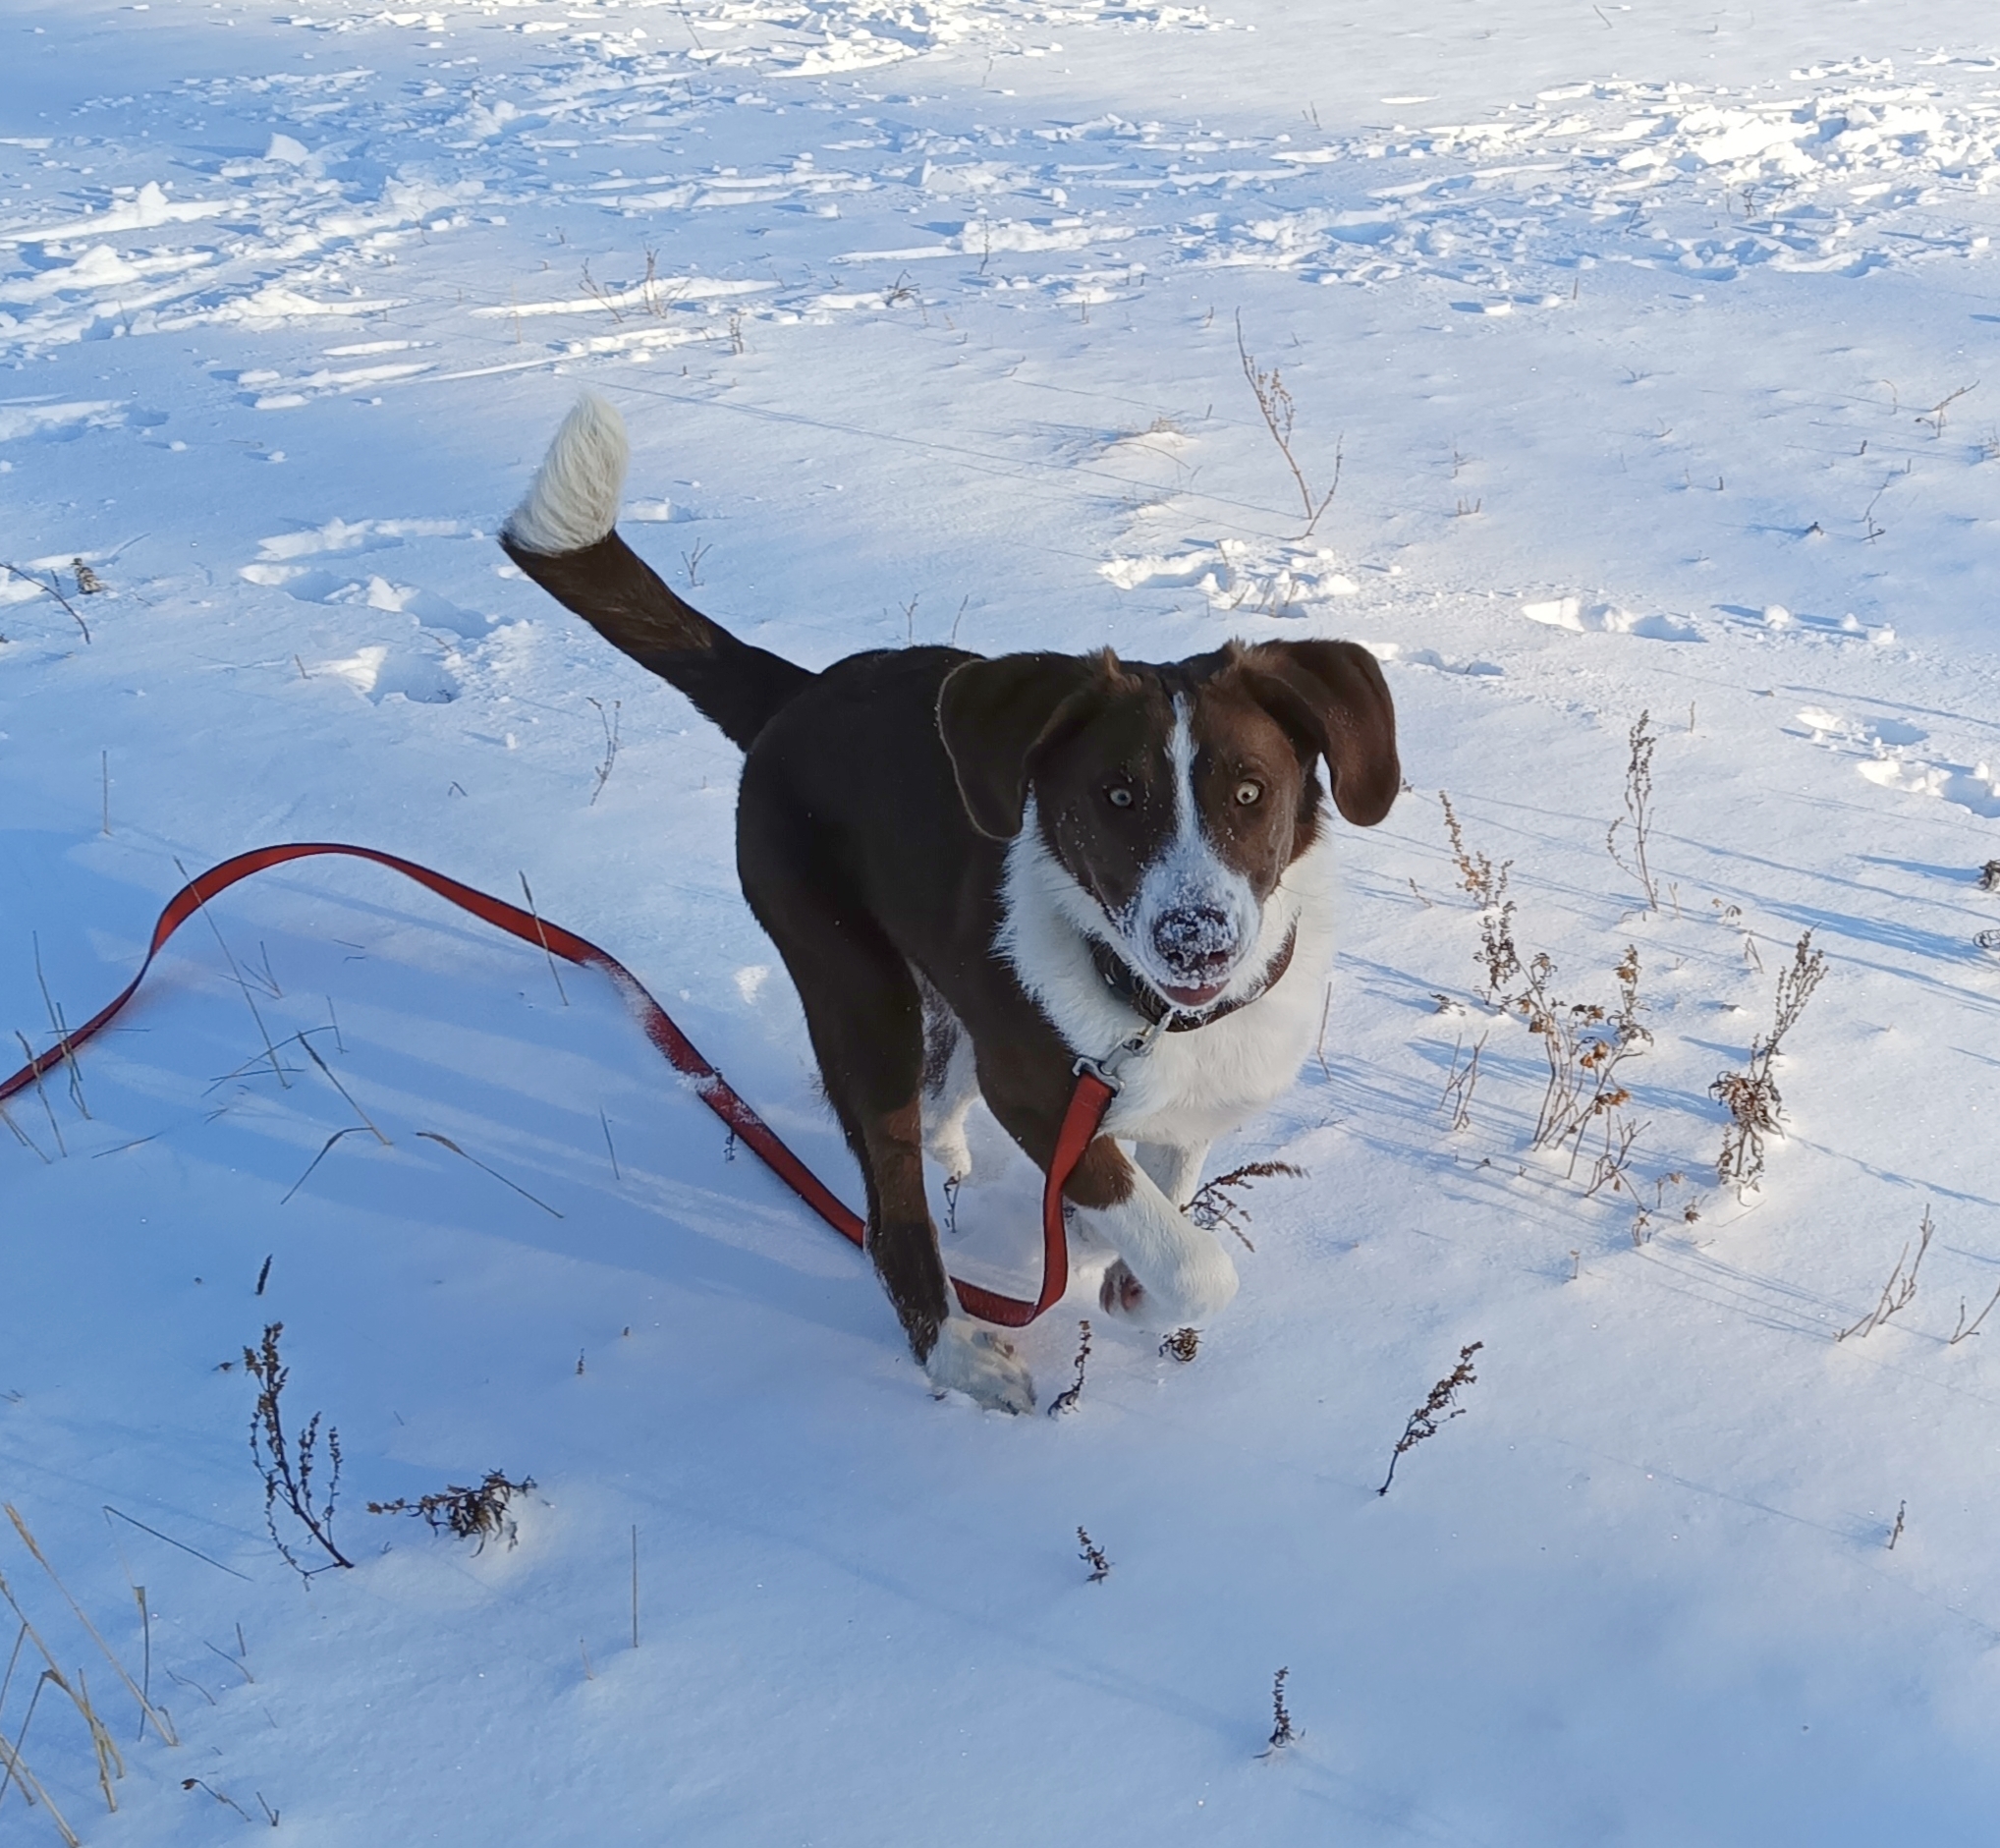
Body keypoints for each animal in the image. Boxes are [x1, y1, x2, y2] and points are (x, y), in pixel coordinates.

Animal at [504, 398, 1408, 1408]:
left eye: (1251, 792)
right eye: (1117, 795)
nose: (1195, 942)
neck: (1155, 1017)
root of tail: (799, 693)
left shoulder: (1188, 1102)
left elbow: (1165, 1192)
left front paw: (1119, 1272)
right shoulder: (1041, 1094)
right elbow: (1197, 1262)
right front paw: (1131, 1270)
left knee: (938, 1103)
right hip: (855, 987)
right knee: (890, 1208)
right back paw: (955, 1347)